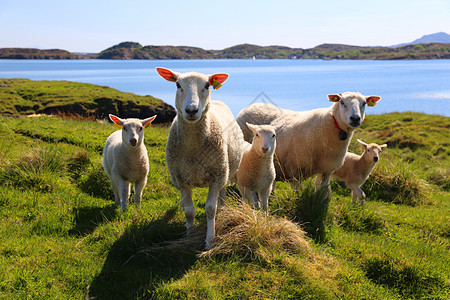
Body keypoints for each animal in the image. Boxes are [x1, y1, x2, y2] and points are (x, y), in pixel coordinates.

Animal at [156, 67, 244, 250]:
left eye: (207, 85)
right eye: (177, 84)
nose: (191, 110)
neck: (193, 150)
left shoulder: (216, 176)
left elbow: (210, 209)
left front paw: (209, 240)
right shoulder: (180, 178)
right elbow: (189, 211)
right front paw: (189, 236)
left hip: (225, 170)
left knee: (221, 195)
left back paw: (222, 209)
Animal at [236, 90, 380, 191]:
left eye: (364, 104)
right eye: (342, 102)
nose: (355, 118)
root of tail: (252, 106)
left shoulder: (327, 169)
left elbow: (324, 192)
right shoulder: (295, 170)